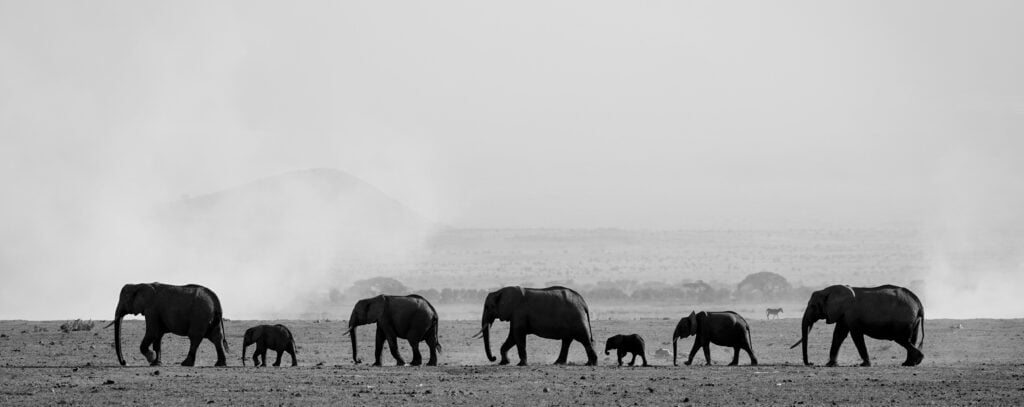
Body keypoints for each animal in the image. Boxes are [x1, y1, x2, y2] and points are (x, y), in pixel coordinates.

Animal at [786, 282, 925, 367]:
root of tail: (919, 304)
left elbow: (855, 335)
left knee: (902, 339)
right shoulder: (843, 314)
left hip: (904, 320)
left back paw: (917, 360)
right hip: (914, 320)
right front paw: (830, 364)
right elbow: (838, 335)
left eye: (813, 306)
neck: (829, 290)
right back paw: (909, 363)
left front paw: (865, 365)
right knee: (911, 339)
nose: (811, 363)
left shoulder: (851, 314)